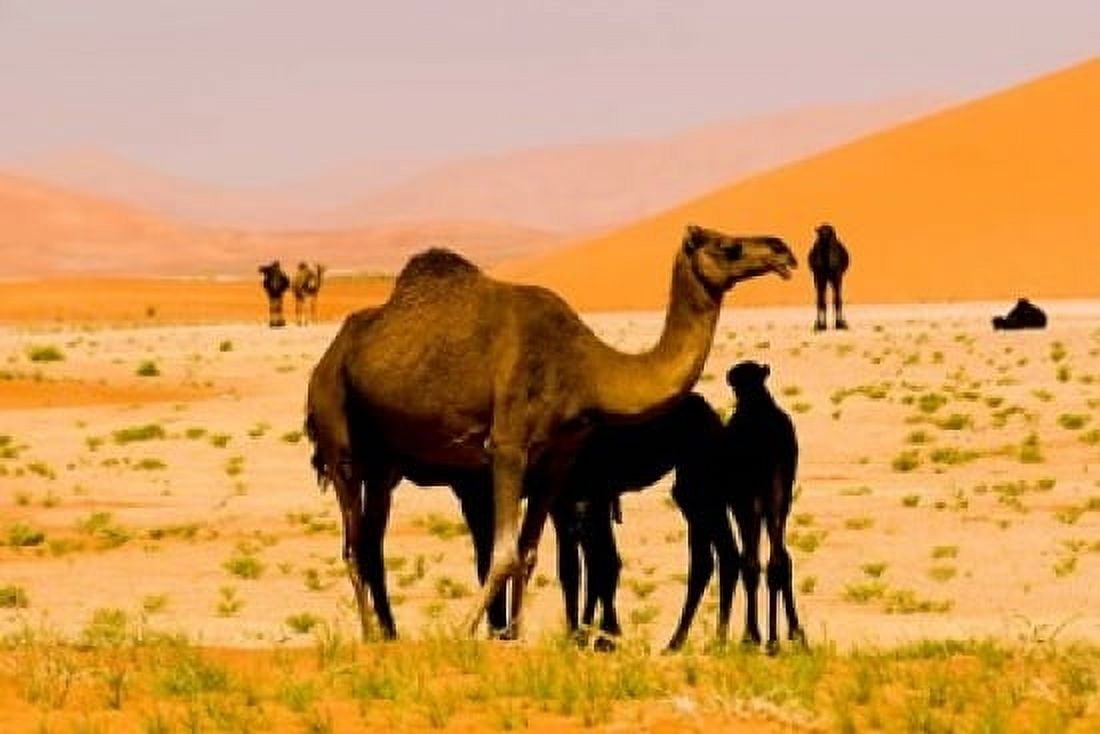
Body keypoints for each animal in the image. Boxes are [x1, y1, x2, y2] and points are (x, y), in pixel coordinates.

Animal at [551, 392, 738, 652]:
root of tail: (714, 417)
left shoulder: (596, 495)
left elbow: (603, 564)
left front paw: (604, 638)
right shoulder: (563, 502)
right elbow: (571, 569)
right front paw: (580, 636)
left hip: (699, 480)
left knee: (719, 556)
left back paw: (709, 641)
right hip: (694, 490)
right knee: (710, 559)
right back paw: (682, 642)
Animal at [723, 361, 804, 654]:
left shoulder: (740, 499)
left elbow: (748, 562)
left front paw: (751, 635)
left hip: (751, 496)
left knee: (756, 561)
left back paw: (760, 637)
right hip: (778, 490)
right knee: (780, 559)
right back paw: (784, 637)